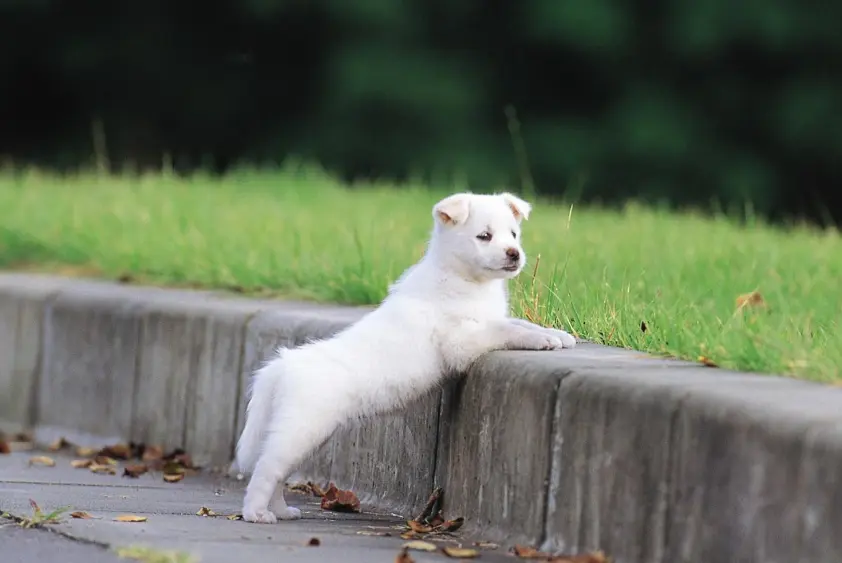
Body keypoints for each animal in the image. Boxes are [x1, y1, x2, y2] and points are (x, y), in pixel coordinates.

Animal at [233, 193, 576, 524]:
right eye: (484, 236)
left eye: (514, 234)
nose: (514, 253)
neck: (462, 278)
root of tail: (283, 364)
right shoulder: (462, 340)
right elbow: (507, 329)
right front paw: (543, 340)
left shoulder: (485, 320)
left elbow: (519, 323)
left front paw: (557, 334)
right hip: (300, 429)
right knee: (266, 470)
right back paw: (256, 513)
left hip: (306, 434)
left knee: (278, 473)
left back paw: (280, 510)